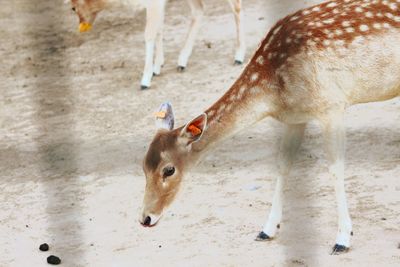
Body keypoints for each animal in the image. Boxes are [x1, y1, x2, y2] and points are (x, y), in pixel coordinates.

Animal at [69, 0, 245, 90]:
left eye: (72, 7)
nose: (81, 25)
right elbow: (159, 27)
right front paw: (157, 67)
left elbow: (149, 32)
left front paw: (145, 79)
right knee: (198, 10)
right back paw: (182, 61)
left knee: (236, 6)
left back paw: (239, 56)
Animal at [141, 0, 400, 255]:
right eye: (142, 167)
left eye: (169, 170)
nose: (145, 218)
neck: (274, 90)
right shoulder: (295, 118)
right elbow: (283, 164)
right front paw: (267, 229)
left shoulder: (332, 106)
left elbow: (335, 169)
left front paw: (343, 239)